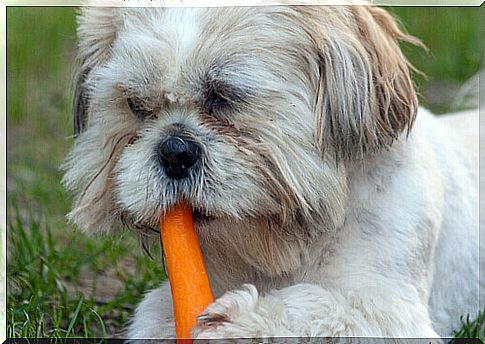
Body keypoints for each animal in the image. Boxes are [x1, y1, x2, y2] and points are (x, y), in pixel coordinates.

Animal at [61, 1, 480, 340]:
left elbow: (321, 309)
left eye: (224, 97)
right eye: (136, 105)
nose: (174, 150)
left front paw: (240, 321)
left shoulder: (388, 312)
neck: (286, 243)